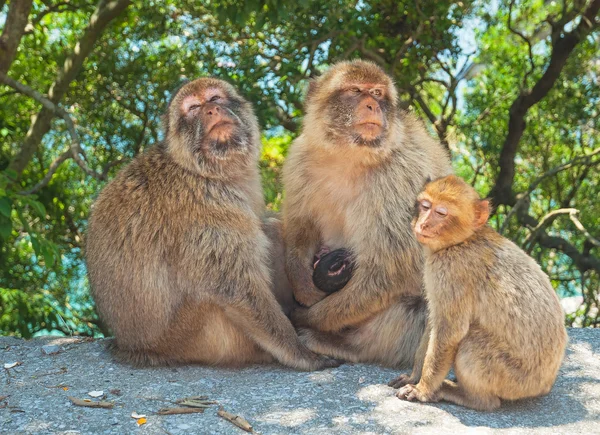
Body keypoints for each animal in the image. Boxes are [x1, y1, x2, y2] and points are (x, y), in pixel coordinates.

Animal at [86, 77, 340, 372]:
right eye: (193, 108)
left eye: (215, 98)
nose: (210, 110)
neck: (205, 172)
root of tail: (131, 347)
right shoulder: (203, 205)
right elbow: (236, 290)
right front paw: (300, 352)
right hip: (191, 337)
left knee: (268, 230)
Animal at [284, 60, 452, 368]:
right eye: (355, 91)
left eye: (377, 93)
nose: (372, 105)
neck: (349, 157)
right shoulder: (299, 158)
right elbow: (299, 226)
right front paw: (302, 285)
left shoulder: (403, 176)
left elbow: (387, 271)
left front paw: (306, 316)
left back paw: (344, 345)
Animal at [390, 175, 568, 410]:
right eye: (425, 206)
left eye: (441, 213)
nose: (423, 223)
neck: (463, 240)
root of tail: (546, 384)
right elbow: (435, 324)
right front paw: (414, 377)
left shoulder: (451, 269)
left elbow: (450, 332)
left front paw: (423, 389)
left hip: (514, 378)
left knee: (470, 344)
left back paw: (473, 398)